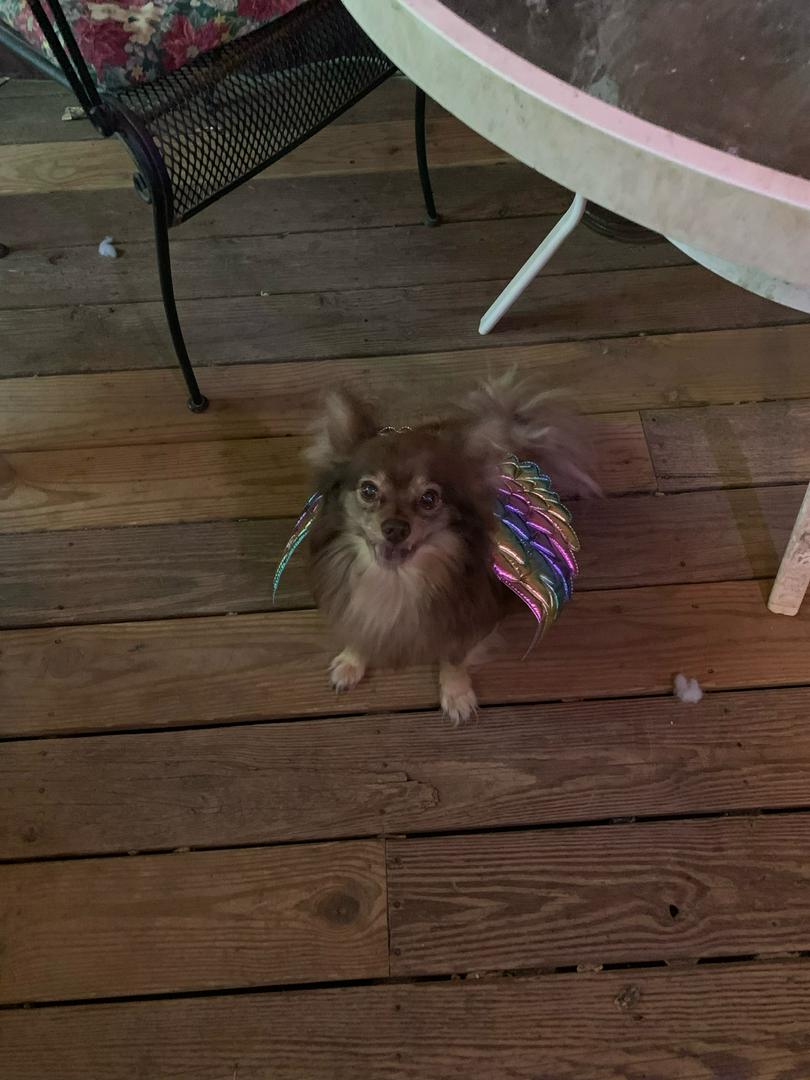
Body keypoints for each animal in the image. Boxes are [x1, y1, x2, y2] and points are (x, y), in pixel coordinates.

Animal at [304, 374, 596, 723]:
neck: (394, 582)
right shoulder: (356, 607)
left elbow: (453, 658)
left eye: (429, 498)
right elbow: (359, 629)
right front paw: (351, 661)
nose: (395, 529)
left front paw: (456, 694)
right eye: (369, 490)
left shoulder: (466, 621)